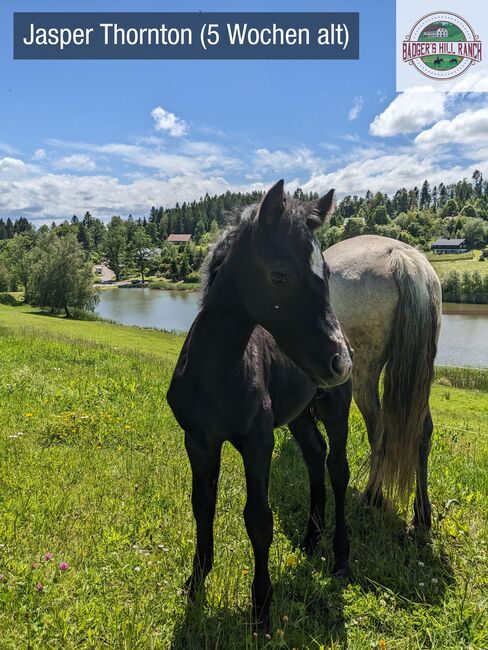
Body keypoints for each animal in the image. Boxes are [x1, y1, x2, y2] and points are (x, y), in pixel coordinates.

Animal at [324, 233, 442, 528]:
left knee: (379, 428)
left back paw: (372, 496)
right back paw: (422, 514)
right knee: (423, 431)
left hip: (363, 373)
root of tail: (400, 256)